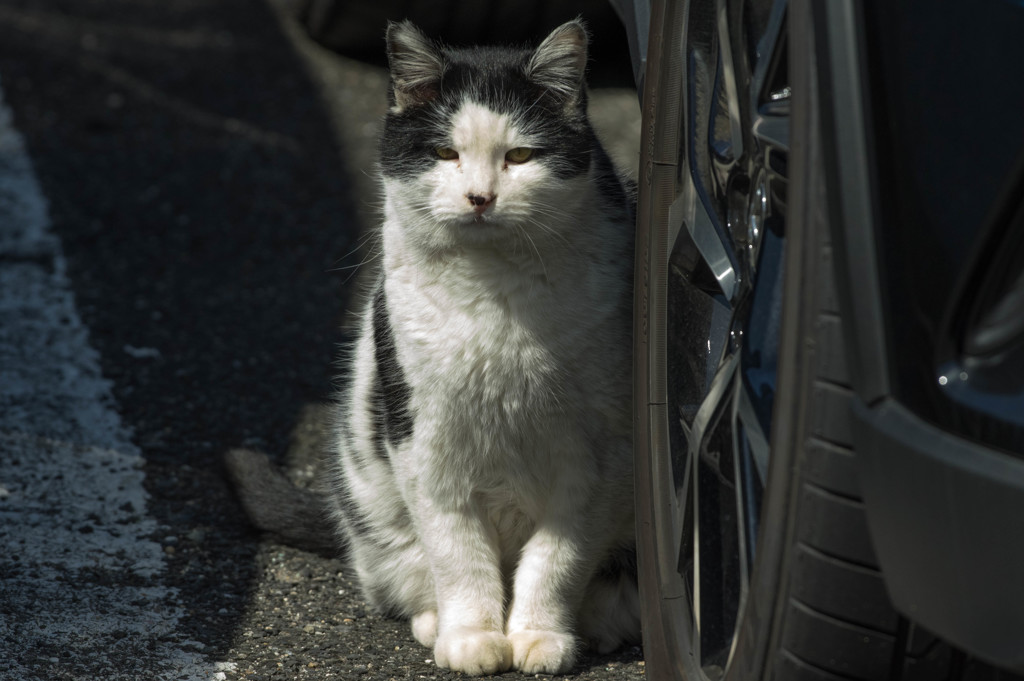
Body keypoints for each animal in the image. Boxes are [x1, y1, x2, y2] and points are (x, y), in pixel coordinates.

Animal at [230, 19, 638, 675]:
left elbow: (558, 559)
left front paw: (540, 636)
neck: (496, 294)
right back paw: (433, 622)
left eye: (520, 156)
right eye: (446, 153)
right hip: (377, 511)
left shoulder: (601, 454)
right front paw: (472, 638)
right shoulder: (425, 442)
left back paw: (600, 623)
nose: (479, 197)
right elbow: (456, 551)